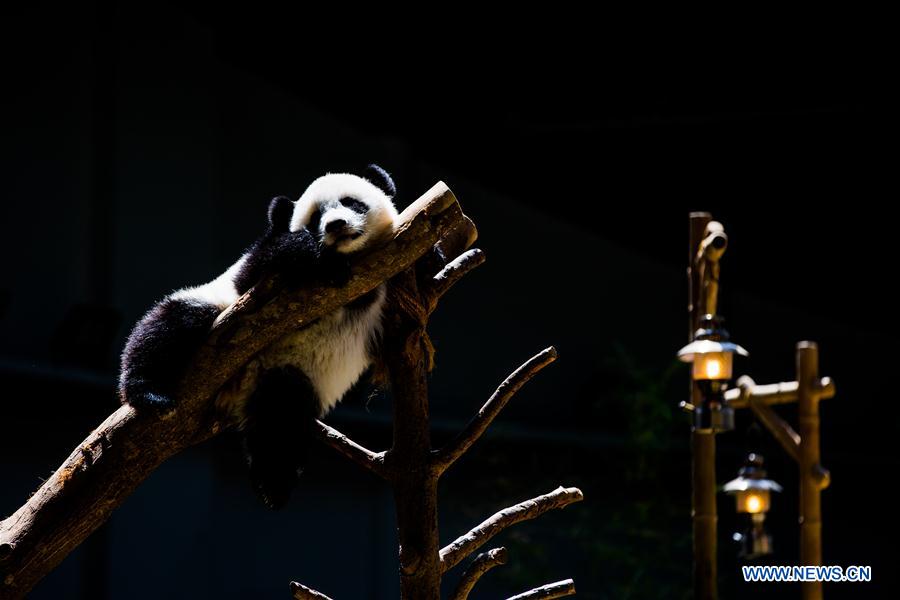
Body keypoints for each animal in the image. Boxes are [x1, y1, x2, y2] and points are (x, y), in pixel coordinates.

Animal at [119, 165, 399, 508]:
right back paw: (148, 392)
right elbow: (262, 264)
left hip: (290, 372)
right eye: (315, 217)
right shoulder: (251, 279)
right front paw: (312, 254)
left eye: (351, 202)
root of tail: (238, 384)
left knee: (281, 416)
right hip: (214, 311)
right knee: (168, 326)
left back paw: (273, 485)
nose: (335, 225)